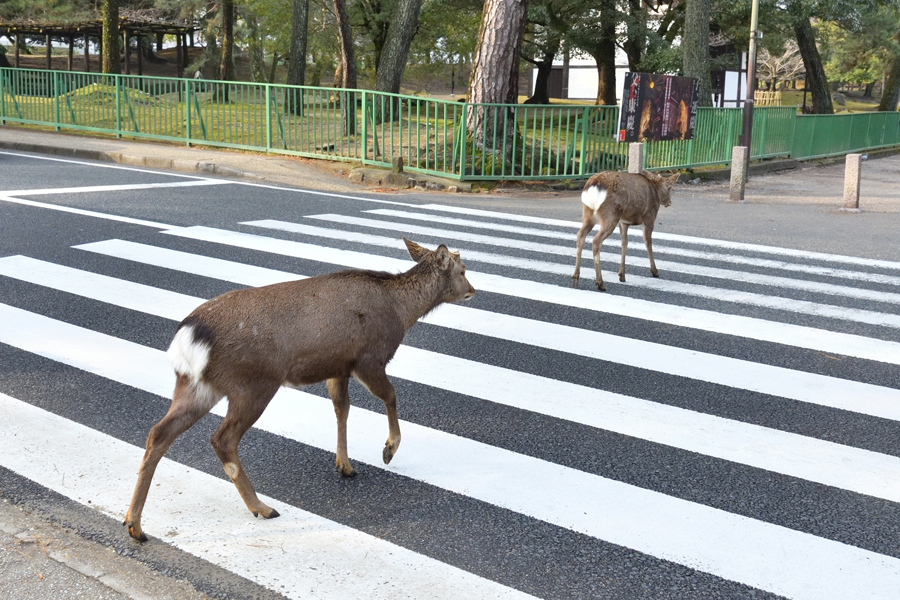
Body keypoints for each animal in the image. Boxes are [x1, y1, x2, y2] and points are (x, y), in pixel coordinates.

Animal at [126, 237, 478, 540]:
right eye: (462, 270)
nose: (473, 290)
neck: (401, 313)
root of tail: (188, 336)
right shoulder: (369, 358)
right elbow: (390, 396)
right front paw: (388, 449)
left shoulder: (338, 367)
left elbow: (342, 408)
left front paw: (345, 464)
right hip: (254, 383)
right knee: (222, 438)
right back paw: (262, 507)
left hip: (195, 385)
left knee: (159, 433)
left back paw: (135, 524)